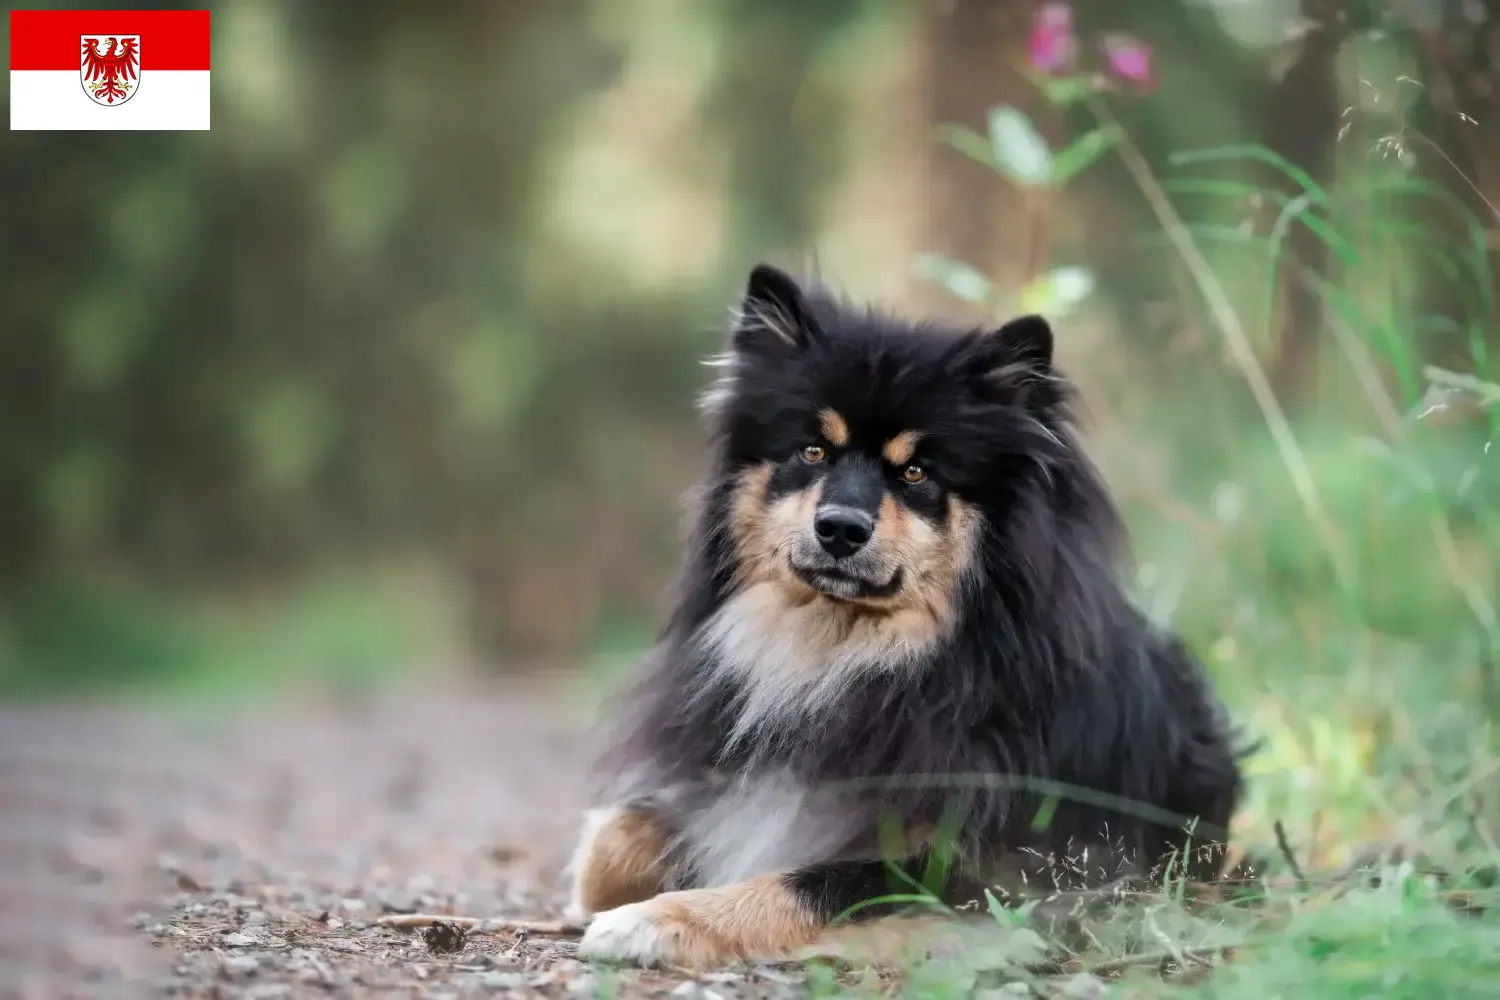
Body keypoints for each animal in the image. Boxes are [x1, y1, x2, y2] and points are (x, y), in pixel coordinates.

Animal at [564, 263, 1242, 971]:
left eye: (916, 471)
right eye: (812, 451)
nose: (839, 528)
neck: (843, 653)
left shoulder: (985, 864)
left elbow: (806, 883)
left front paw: (654, 920)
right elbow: (615, 836)